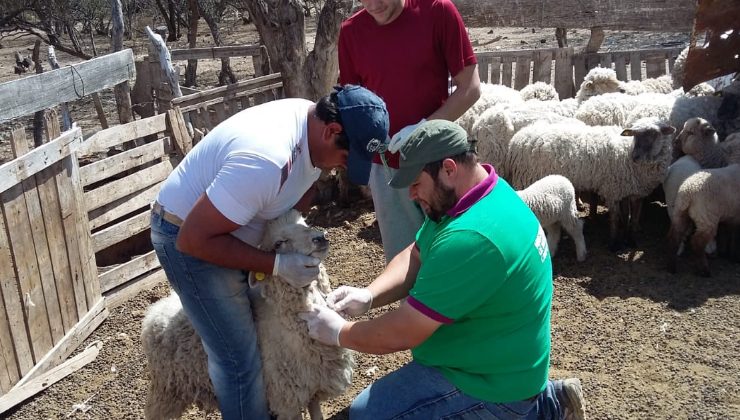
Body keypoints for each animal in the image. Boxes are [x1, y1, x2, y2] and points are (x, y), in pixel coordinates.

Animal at [508, 118, 676, 249]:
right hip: (528, 179)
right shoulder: (612, 189)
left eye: (654, 133)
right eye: (634, 135)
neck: (626, 152)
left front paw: (630, 239)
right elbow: (615, 218)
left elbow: (632, 218)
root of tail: (519, 137)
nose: (635, 156)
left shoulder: (632, 191)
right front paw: (614, 244)